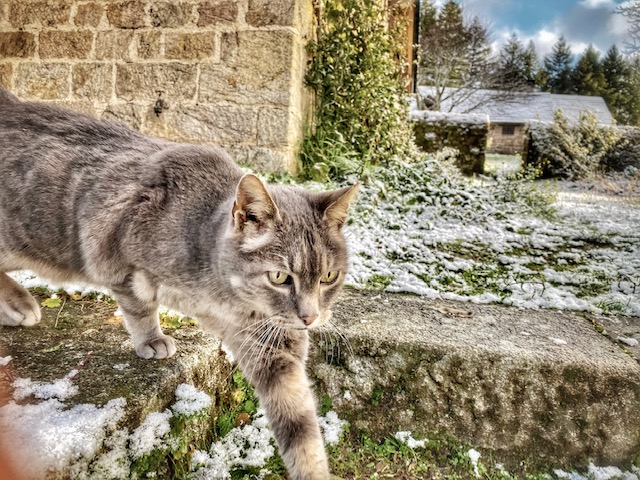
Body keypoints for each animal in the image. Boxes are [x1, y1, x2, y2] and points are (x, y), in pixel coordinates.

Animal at [0, 88, 358, 478]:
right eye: (279, 277)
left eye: (328, 276)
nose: (310, 317)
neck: (225, 295)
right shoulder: (121, 262)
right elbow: (140, 308)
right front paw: (151, 340)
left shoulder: (270, 341)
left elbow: (299, 424)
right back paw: (20, 303)